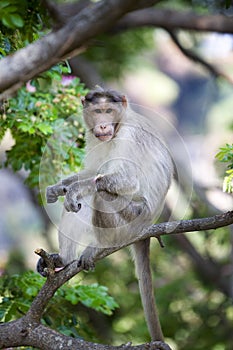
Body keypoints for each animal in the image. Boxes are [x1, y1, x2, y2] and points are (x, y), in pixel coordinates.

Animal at [38, 88, 173, 342]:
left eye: (108, 111)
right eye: (97, 111)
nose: (102, 125)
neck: (119, 127)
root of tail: (148, 227)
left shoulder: (130, 136)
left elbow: (126, 181)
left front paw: (73, 189)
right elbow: (93, 171)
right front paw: (59, 187)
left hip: (134, 219)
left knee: (102, 195)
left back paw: (99, 247)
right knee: (81, 204)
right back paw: (64, 260)